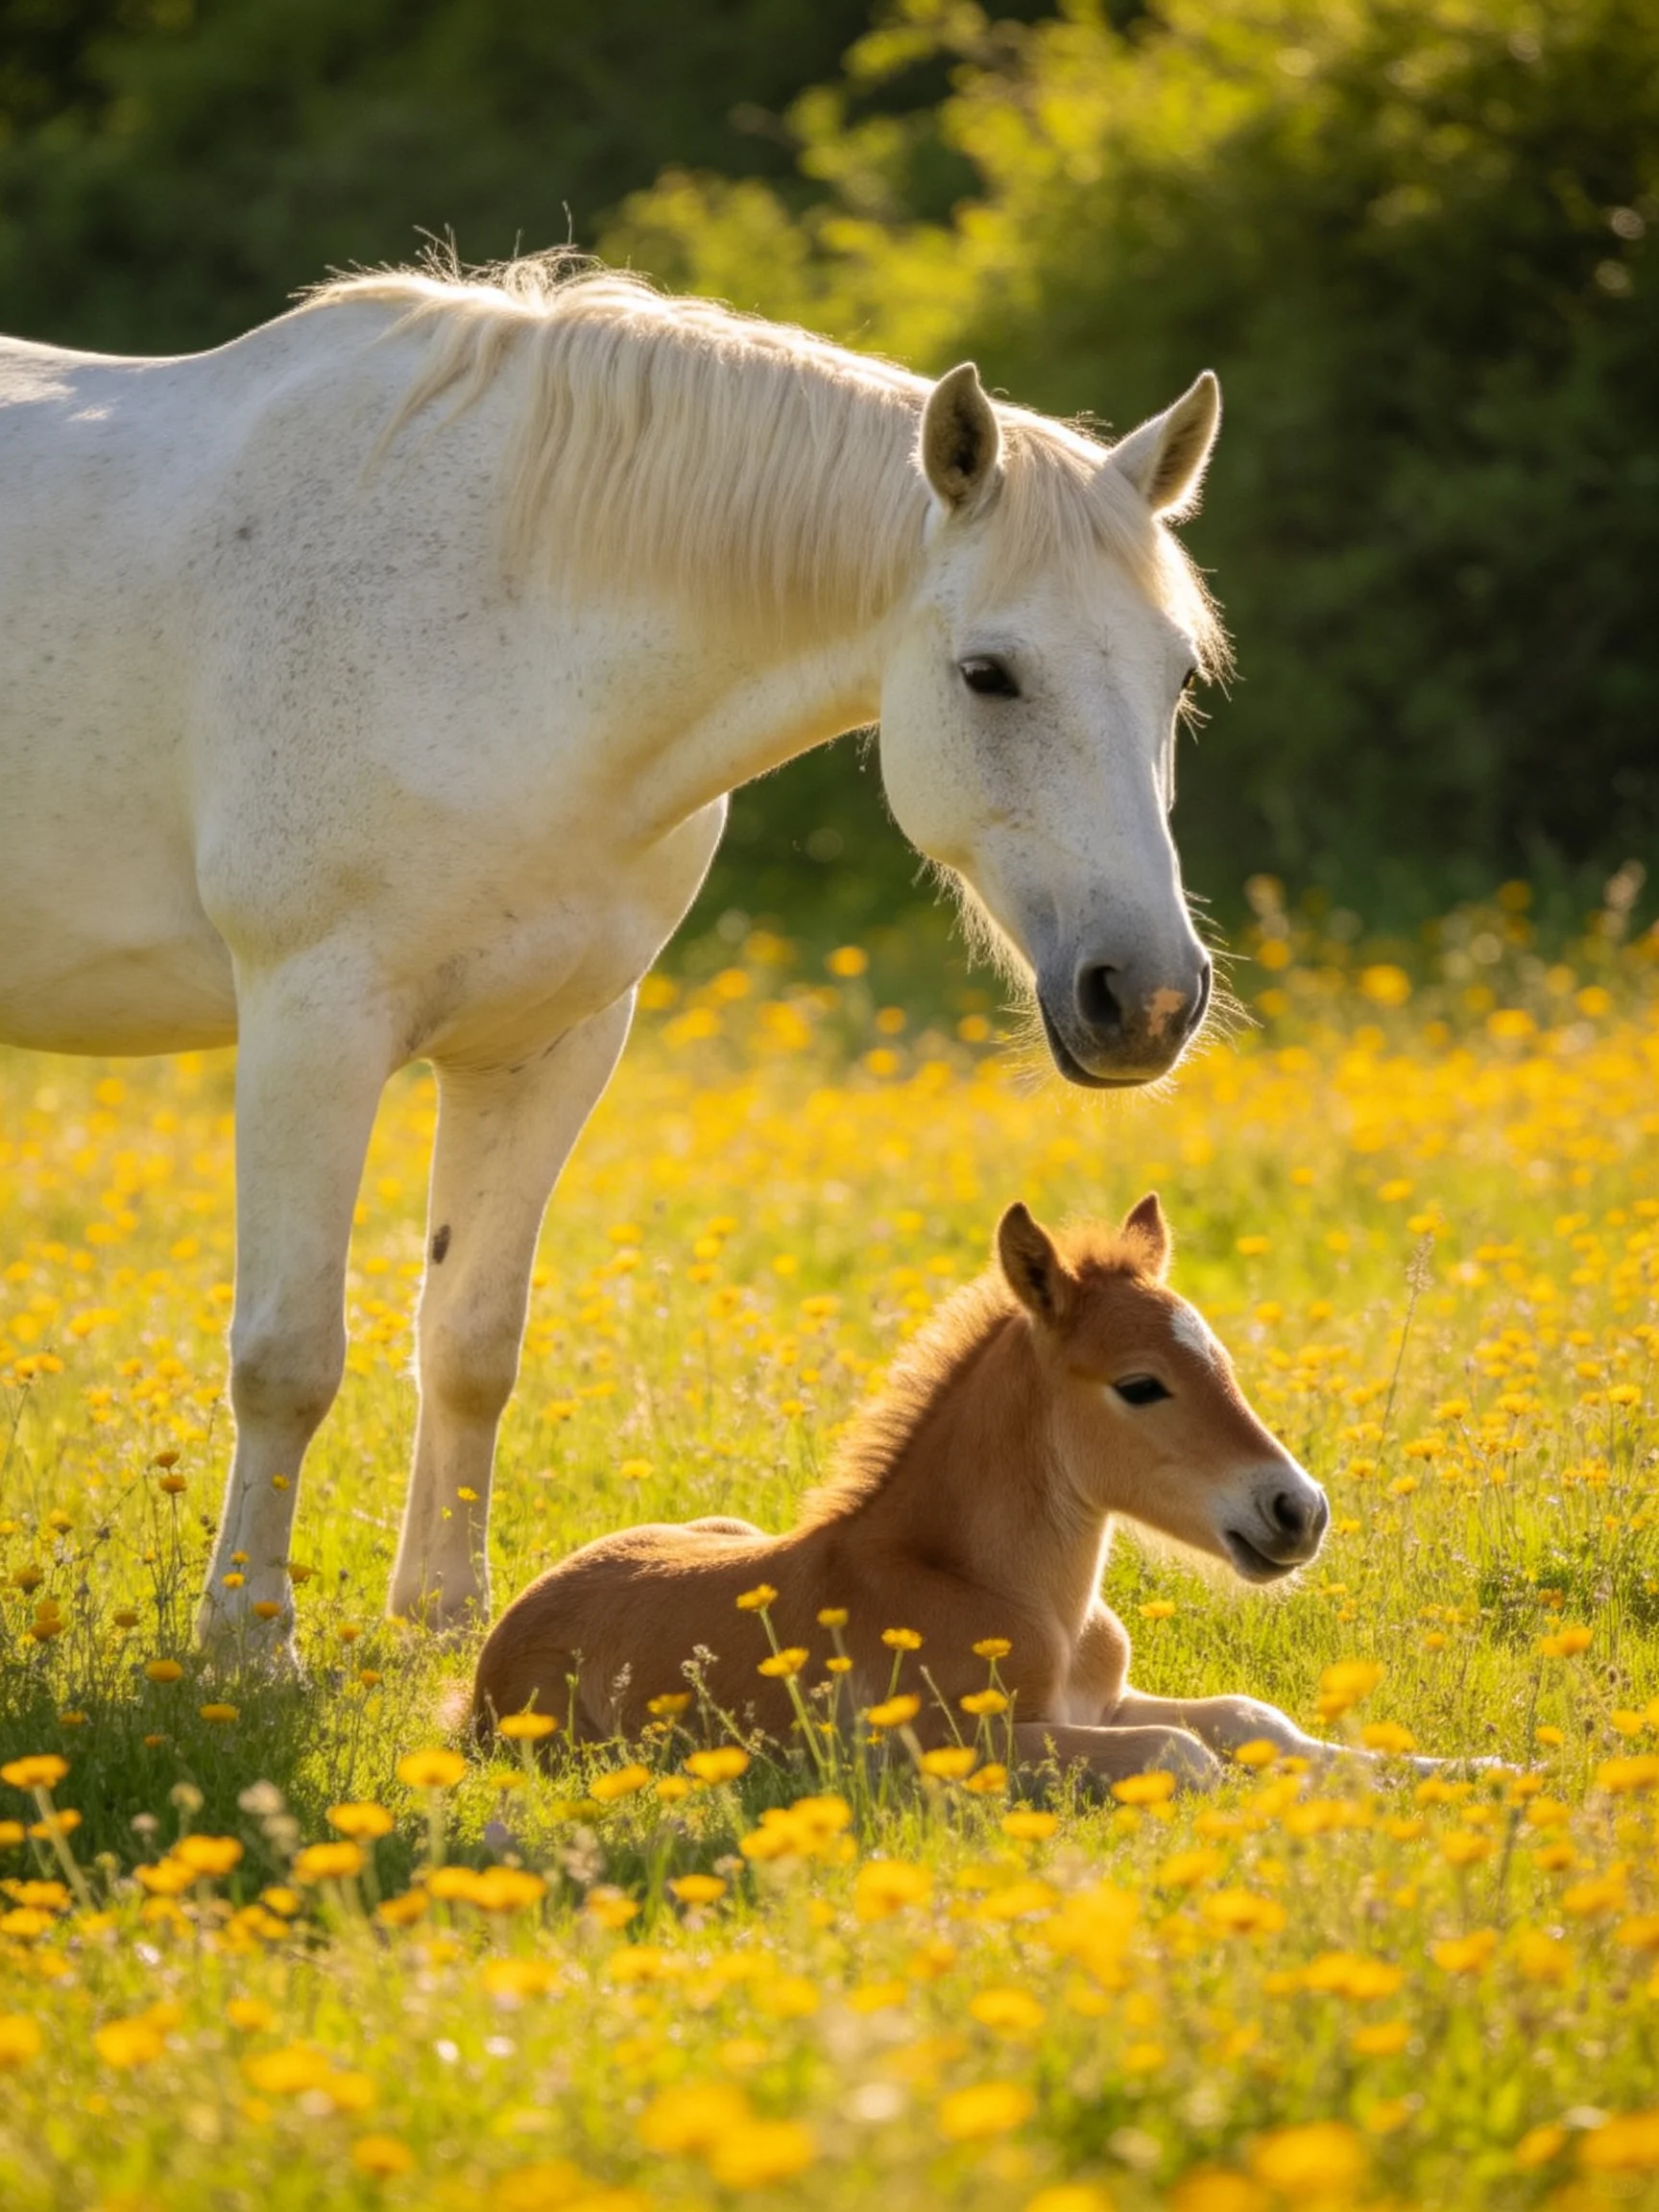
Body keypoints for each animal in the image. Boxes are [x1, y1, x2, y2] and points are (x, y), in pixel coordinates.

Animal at [0, 254, 1228, 1652]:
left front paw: (446, 1621)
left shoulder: (547, 1045)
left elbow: (472, 1343)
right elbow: (287, 1356)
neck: (501, 625)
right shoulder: (313, 1023)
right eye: (988, 674)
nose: (1147, 999)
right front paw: (251, 1642)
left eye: (1178, 676)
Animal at [471, 1195, 1389, 1791]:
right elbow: (1184, 1754)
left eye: (1222, 1362)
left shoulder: (1101, 1704)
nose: (1298, 1511)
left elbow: (1251, 1720)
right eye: (1140, 1385)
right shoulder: (946, 1744)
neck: (1012, 1594)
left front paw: (1421, 1771)